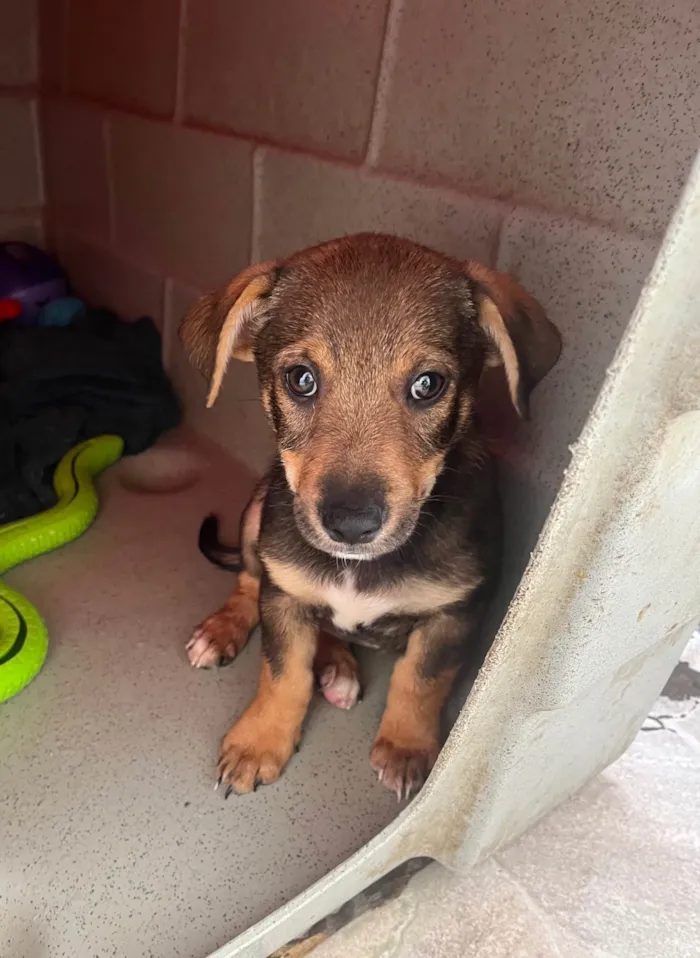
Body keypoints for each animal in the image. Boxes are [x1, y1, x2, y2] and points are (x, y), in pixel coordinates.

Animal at [180, 234, 564, 804]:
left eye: (428, 384)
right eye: (301, 380)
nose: (351, 524)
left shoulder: (454, 615)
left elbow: (420, 682)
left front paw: (405, 749)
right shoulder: (285, 594)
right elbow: (282, 675)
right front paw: (258, 744)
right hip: (259, 513)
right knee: (249, 580)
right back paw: (229, 632)